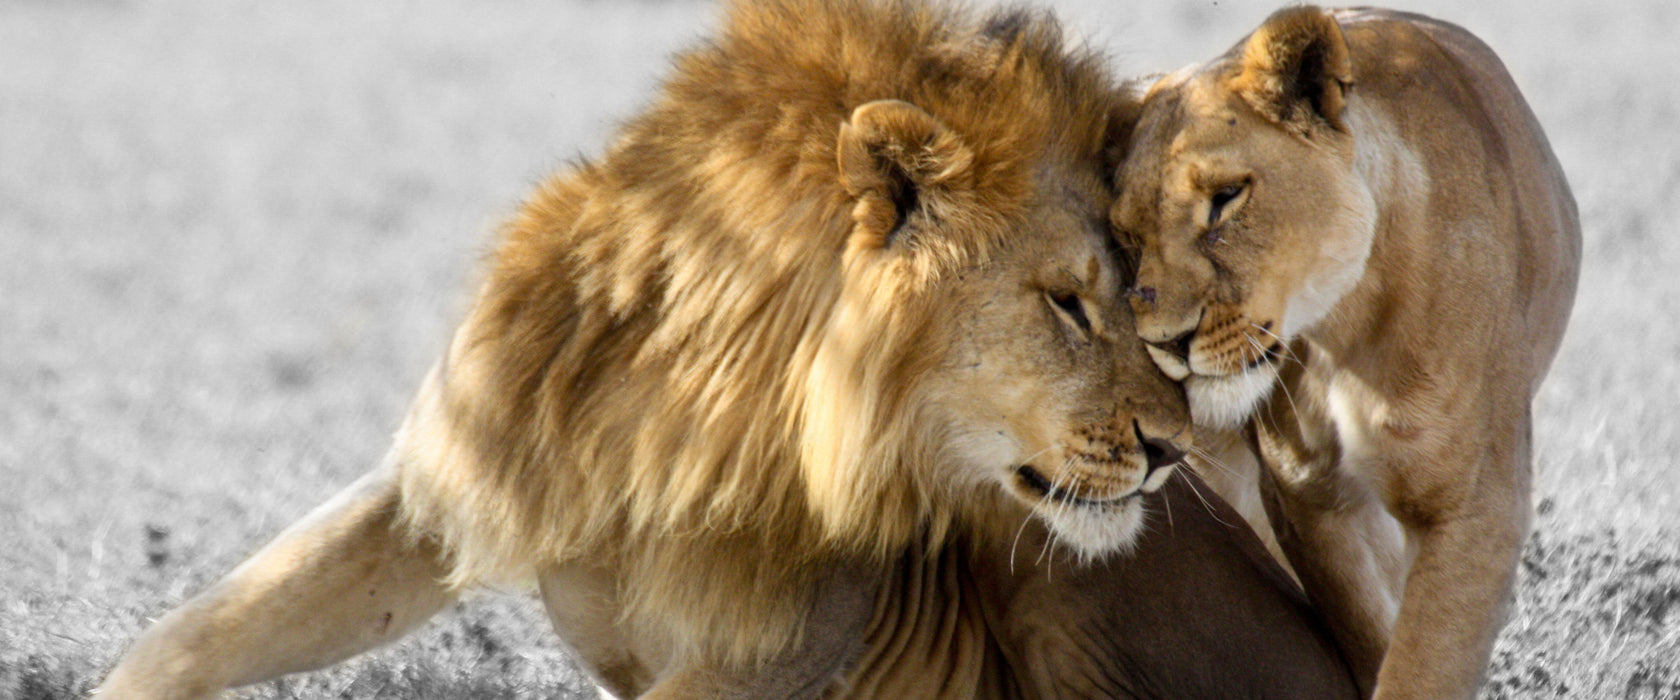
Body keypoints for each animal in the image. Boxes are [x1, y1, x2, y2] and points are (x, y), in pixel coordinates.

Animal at [101, 1, 1209, 698]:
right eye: (1067, 303)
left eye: (1141, 295)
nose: (1176, 449)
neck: (688, 408)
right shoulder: (447, 475)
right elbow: (196, 631)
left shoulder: (789, 643)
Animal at [1108, 6, 1579, 698]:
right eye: (1126, 233)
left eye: (1227, 197)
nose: (1164, 340)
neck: (1344, 330)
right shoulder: (1307, 495)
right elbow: (1368, 634)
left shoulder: (1473, 510)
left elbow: (1421, 667)